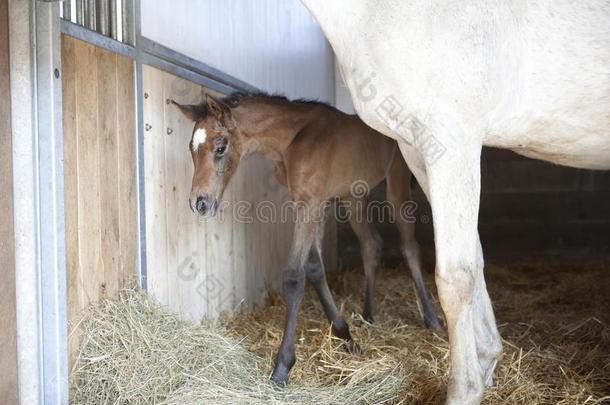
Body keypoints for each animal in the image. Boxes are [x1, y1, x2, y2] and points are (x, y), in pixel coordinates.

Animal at [170, 93, 436, 384]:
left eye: (220, 147)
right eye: (191, 148)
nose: (199, 203)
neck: (293, 139)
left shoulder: (309, 204)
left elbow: (294, 276)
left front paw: (283, 366)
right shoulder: (311, 202)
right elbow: (315, 267)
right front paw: (345, 334)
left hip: (397, 182)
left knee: (409, 247)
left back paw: (432, 319)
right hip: (352, 196)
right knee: (371, 245)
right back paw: (368, 315)